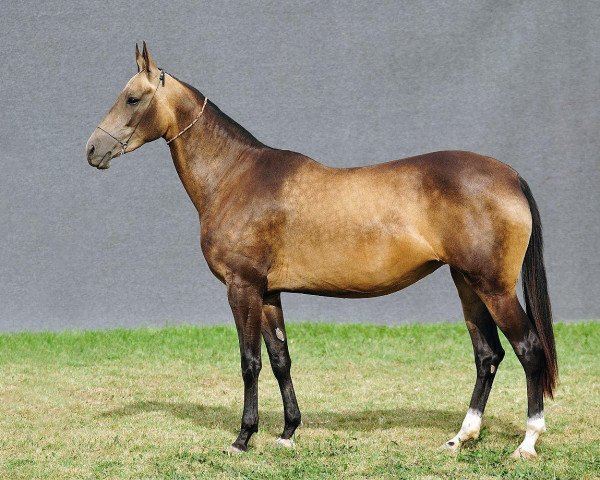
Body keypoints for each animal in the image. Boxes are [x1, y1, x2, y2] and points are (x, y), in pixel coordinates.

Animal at [85, 42, 556, 458]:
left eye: (132, 98)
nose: (93, 149)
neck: (236, 176)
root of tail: (510, 176)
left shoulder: (242, 288)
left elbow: (250, 362)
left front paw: (243, 438)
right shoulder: (268, 292)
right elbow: (280, 359)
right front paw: (287, 433)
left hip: (493, 287)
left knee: (529, 350)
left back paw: (527, 442)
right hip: (467, 284)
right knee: (487, 355)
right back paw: (461, 437)